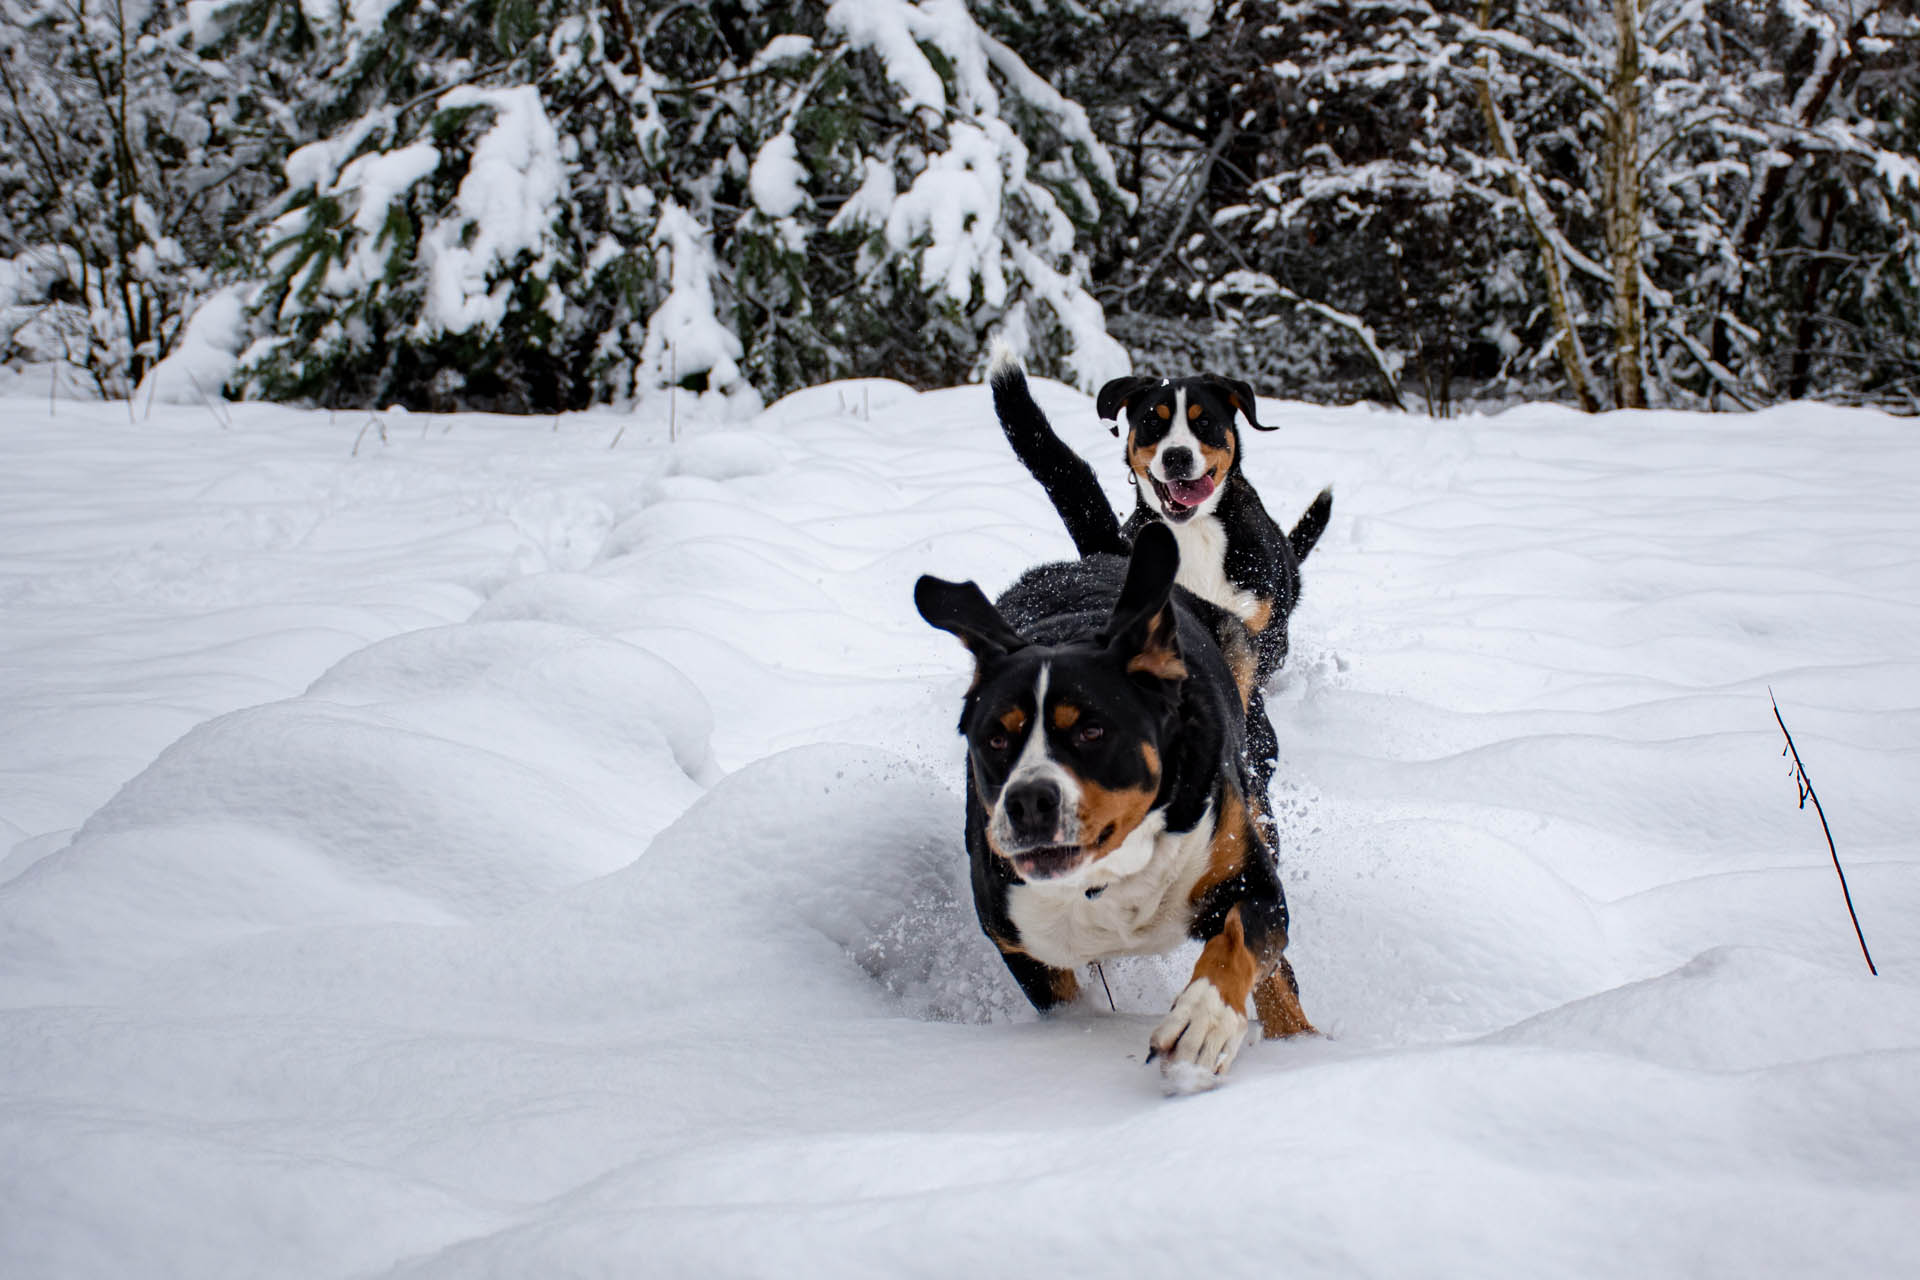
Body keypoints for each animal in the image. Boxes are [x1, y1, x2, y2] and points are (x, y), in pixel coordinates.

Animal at [910, 525, 1305, 1090]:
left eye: (1091, 731)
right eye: (995, 740)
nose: (1029, 801)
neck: (1110, 875)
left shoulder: (1249, 880)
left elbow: (1237, 944)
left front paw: (1202, 1026)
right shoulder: (1022, 945)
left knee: (1278, 977)